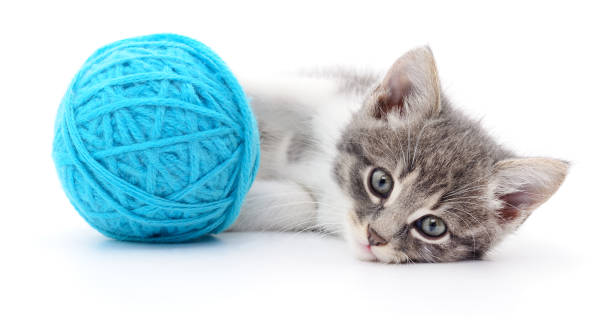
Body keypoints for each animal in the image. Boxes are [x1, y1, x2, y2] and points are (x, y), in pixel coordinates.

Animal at [231, 47, 568, 266]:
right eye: (381, 182)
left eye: (432, 226)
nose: (374, 237)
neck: (330, 180)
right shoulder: (336, 91)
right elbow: (280, 89)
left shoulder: (313, 208)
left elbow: (291, 202)